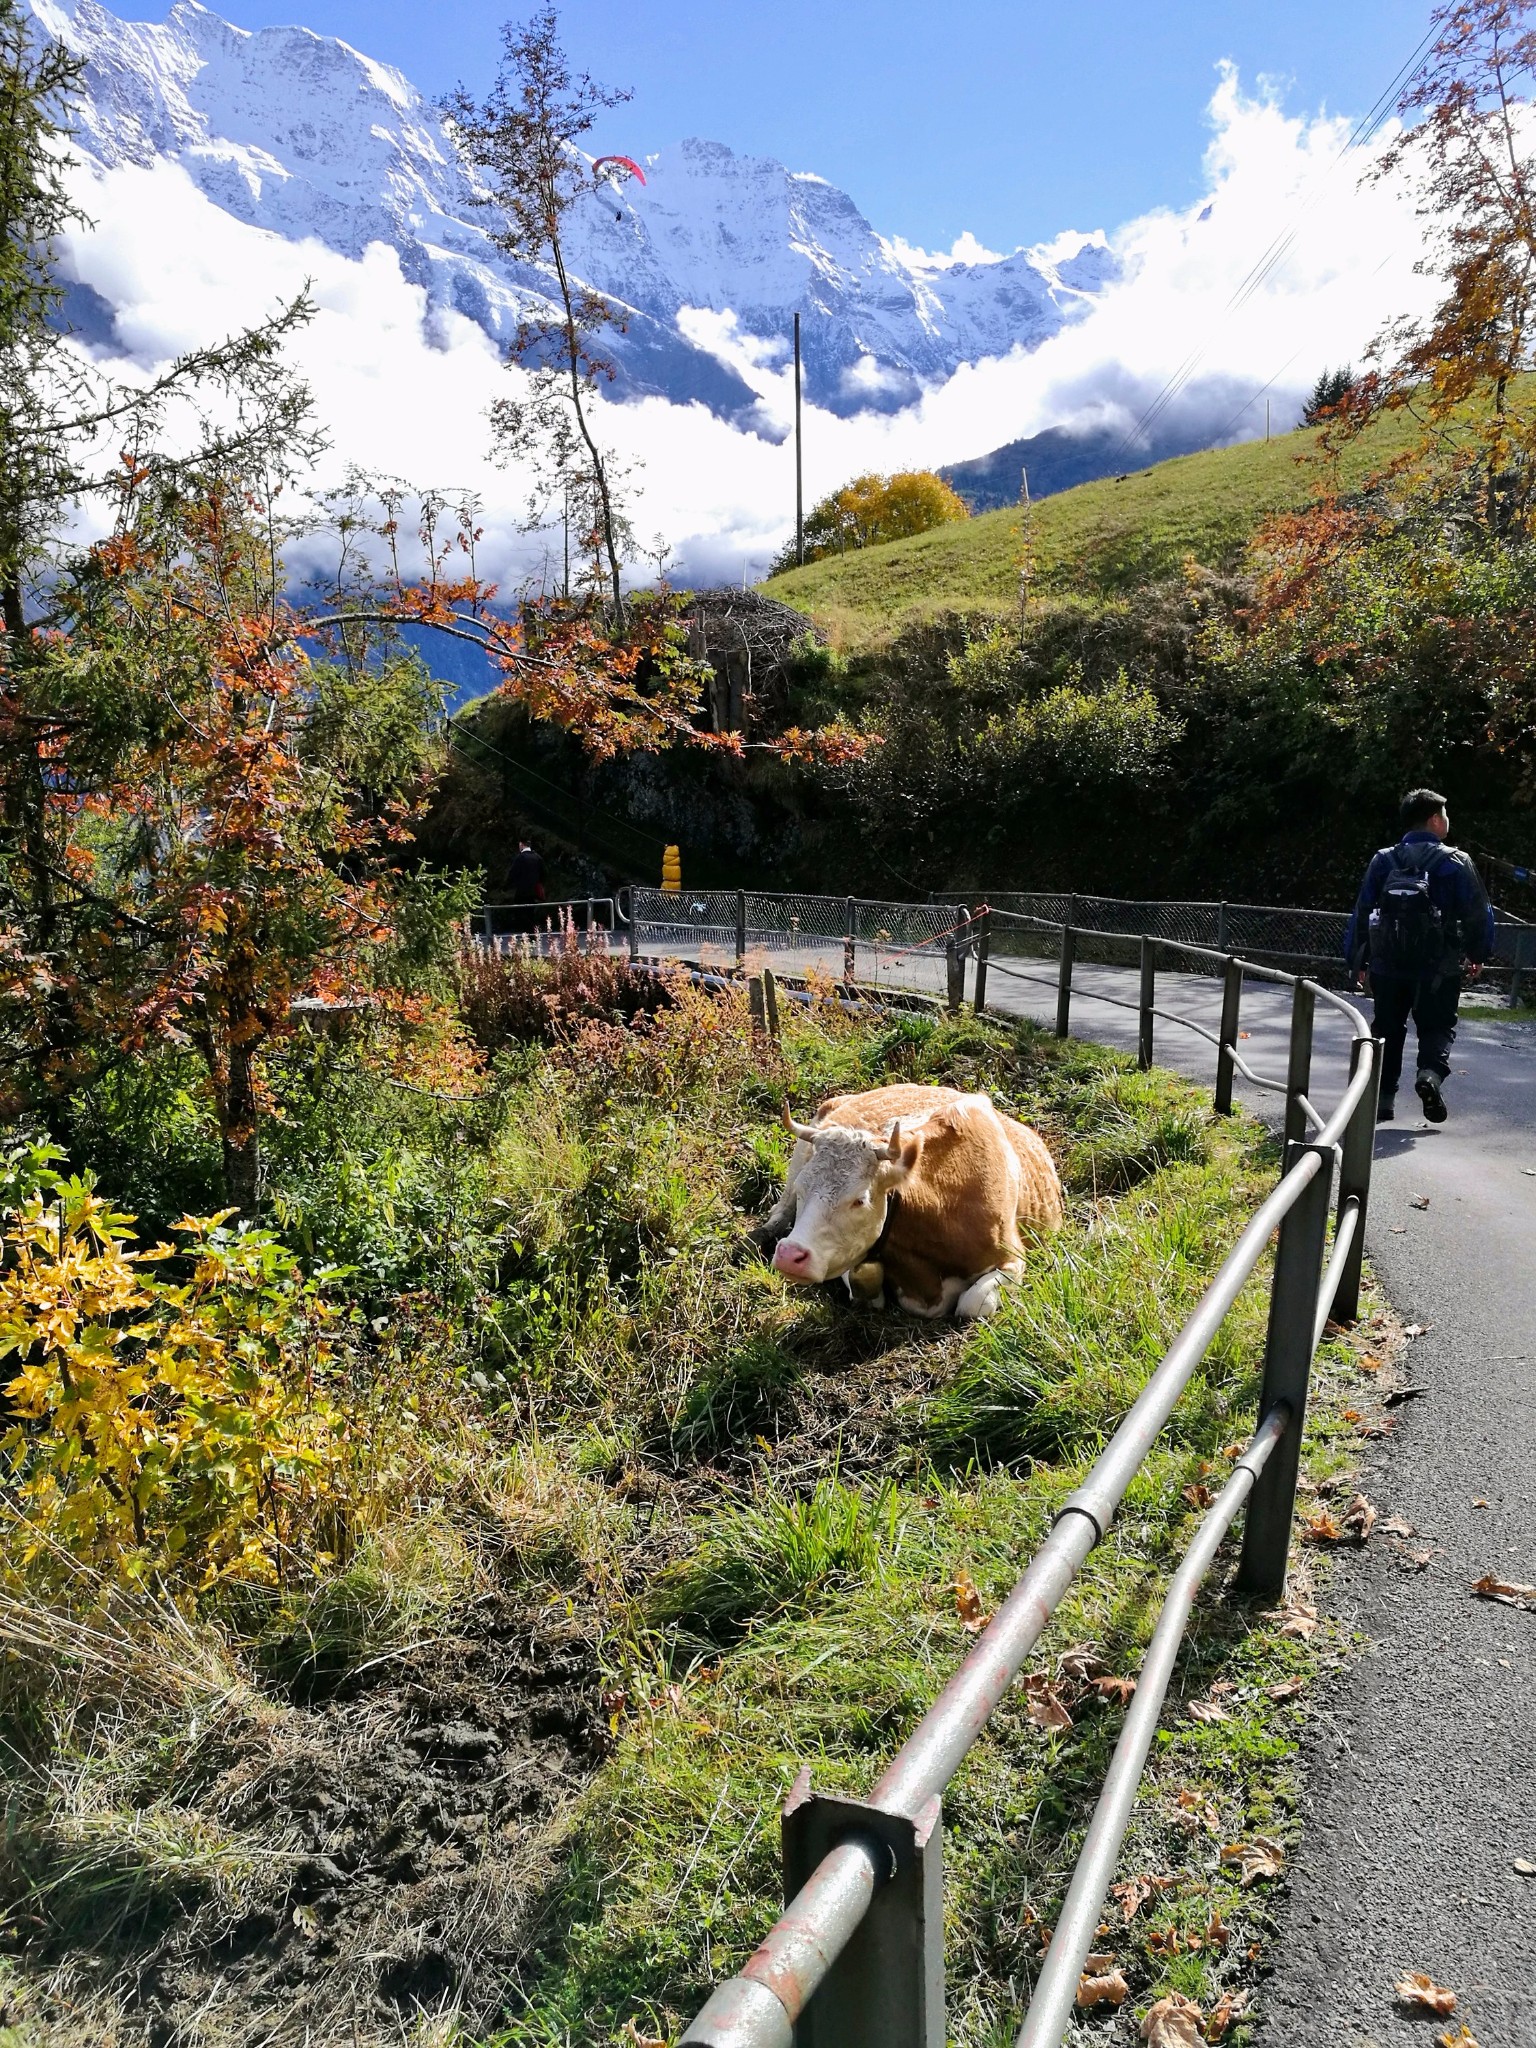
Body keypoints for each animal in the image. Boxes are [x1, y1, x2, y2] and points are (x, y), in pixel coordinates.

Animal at [753, 1081, 1064, 1318]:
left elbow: (971, 1304)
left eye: (859, 1200)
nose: (790, 1255)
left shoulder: (1013, 1258)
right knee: (779, 1211)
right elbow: (862, 1282)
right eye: (803, 1190)